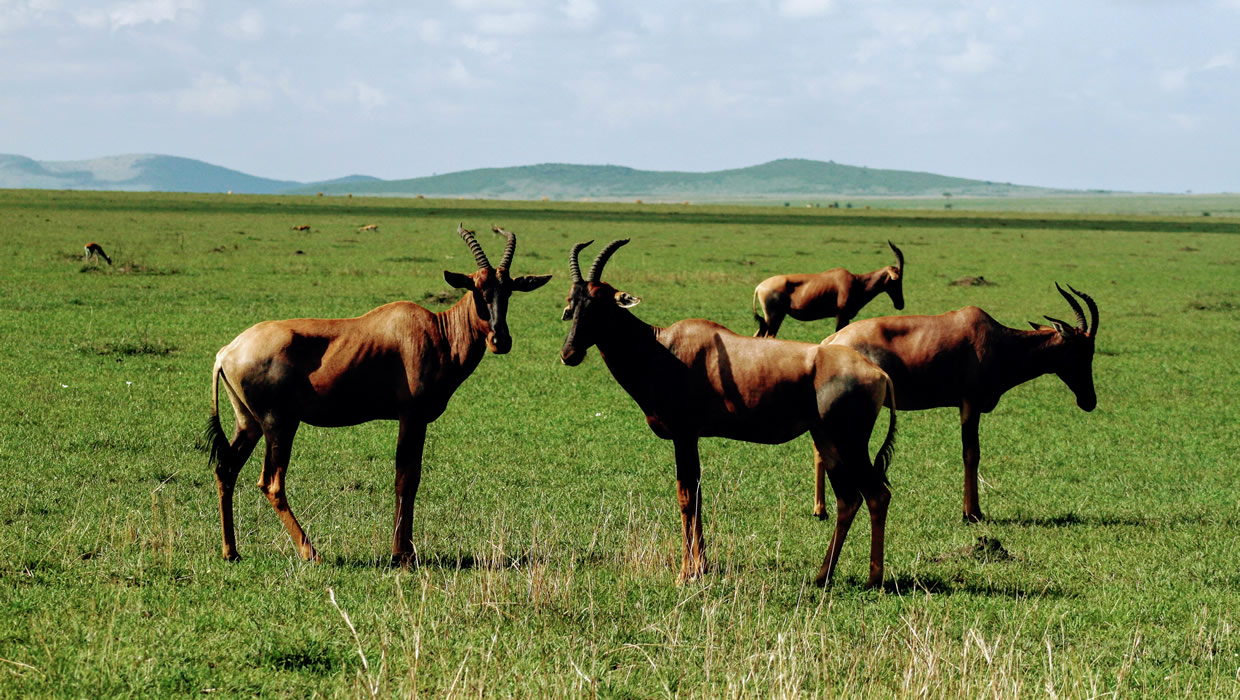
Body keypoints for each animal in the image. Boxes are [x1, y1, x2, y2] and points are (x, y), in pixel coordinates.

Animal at [204, 224, 553, 562]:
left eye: (508, 289)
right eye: (476, 288)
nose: (500, 340)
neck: (435, 332)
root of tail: (227, 352)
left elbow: (408, 477)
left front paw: (403, 551)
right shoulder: (412, 416)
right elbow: (406, 478)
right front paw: (403, 554)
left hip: (248, 424)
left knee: (226, 469)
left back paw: (231, 552)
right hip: (279, 424)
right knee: (272, 482)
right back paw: (311, 553)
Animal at [748, 240, 907, 339]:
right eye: (897, 279)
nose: (900, 304)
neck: (856, 282)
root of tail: (759, 287)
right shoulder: (841, 315)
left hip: (771, 319)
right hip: (774, 317)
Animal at [828, 282, 1101, 517]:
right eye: (1082, 350)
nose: (1089, 401)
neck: (999, 339)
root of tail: (832, 341)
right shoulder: (970, 403)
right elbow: (971, 453)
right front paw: (972, 514)